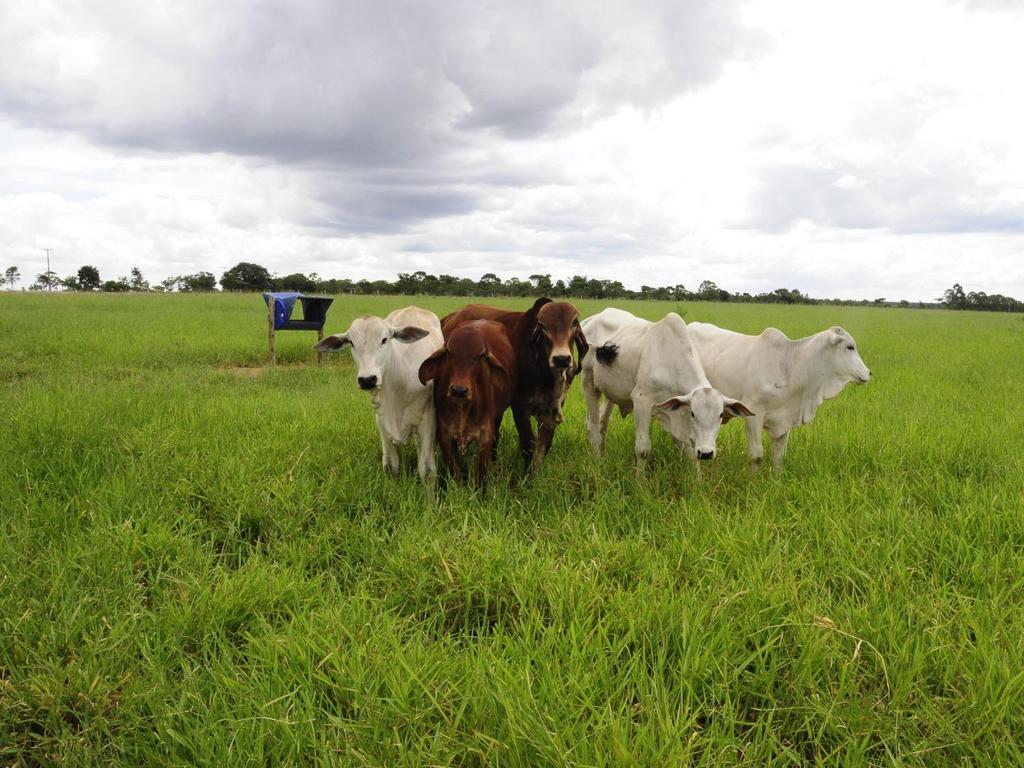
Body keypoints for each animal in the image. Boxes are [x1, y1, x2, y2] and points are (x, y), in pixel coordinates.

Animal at [311, 307, 440, 481]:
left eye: (384, 339)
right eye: (351, 343)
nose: (367, 380)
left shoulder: (428, 420)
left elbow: (426, 469)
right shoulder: (381, 420)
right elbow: (391, 465)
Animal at [415, 319, 516, 487]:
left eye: (481, 355)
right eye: (449, 352)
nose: (459, 390)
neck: (462, 409)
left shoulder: (485, 436)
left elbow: (480, 474)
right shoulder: (445, 435)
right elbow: (455, 470)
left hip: (497, 417)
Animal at [436, 299, 589, 468]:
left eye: (574, 322)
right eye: (542, 325)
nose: (561, 359)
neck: (547, 377)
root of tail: (452, 316)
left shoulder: (552, 411)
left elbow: (543, 447)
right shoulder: (519, 407)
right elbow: (528, 445)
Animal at [581, 309, 757, 466]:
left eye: (720, 415)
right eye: (694, 414)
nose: (706, 453)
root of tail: (591, 319)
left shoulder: (679, 412)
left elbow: (690, 451)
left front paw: (697, 480)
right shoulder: (641, 401)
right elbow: (642, 450)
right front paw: (640, 481)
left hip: (610, 392)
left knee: (603, 422)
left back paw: (603, 455)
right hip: (588, 381)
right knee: (593, 427)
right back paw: (597, 461)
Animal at [688, 321, 872, 473]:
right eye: (850, 347)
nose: (869, 373)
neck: (791, 365)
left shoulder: (785, 419)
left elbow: (779, 457)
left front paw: (777, 481)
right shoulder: (753, 414)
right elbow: (756, 455)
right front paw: (752, 484)